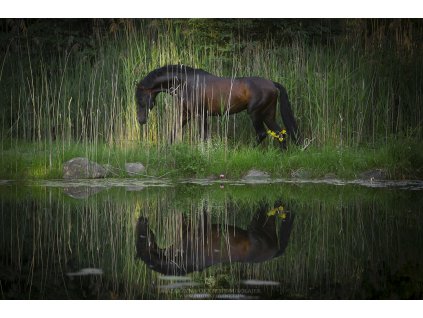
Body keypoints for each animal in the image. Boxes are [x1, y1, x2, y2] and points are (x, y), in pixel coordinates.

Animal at [136, 65, 302, 149]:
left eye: (141, 100)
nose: (140, 120)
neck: (186, 83)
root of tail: (272, 84)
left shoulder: (201, 115)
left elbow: (204, 136)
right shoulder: (185, 114)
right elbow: (173, 132)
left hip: (255, 114)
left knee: (262, 134)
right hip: (268, 114)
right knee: (280, 134)